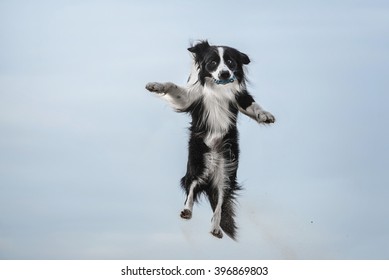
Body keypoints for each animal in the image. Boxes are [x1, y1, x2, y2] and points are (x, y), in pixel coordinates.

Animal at [146, 40, 276, 240]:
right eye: (213, 62)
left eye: (230, 62)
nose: (225, 74)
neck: (218, 88)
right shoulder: (191, 98)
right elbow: (172, 86)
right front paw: (156, 86)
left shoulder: (239, 97)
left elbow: (253, 104)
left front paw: (265, 115)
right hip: (197, 160)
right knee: (192, 188)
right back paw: (187, 210)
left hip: (226, 172)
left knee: (219, 204)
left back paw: (216, 229)